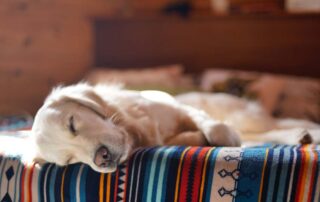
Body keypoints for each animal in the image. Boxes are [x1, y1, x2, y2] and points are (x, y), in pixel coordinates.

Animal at [32, 83, 241, 173]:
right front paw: (197, 137)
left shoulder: (177, 109)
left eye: (72, 124)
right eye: (68, 160)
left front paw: (229, 137)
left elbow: (212, 127)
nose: (101, 159)